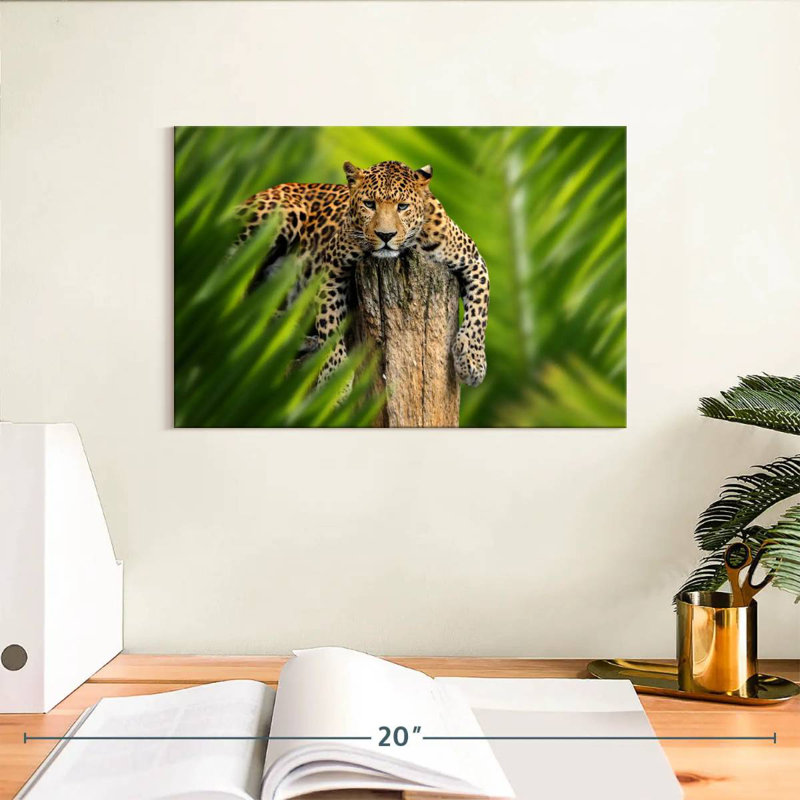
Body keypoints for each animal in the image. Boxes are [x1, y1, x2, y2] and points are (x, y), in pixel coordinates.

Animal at [235, 160, 489, 388]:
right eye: (369, 204)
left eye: (402, 206)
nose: (385, 235)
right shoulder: (330, 268)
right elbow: (330, 323)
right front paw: (335, 379)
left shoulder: (473, 261)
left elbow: (479, 313)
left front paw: (472, 362)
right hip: (280, 215)